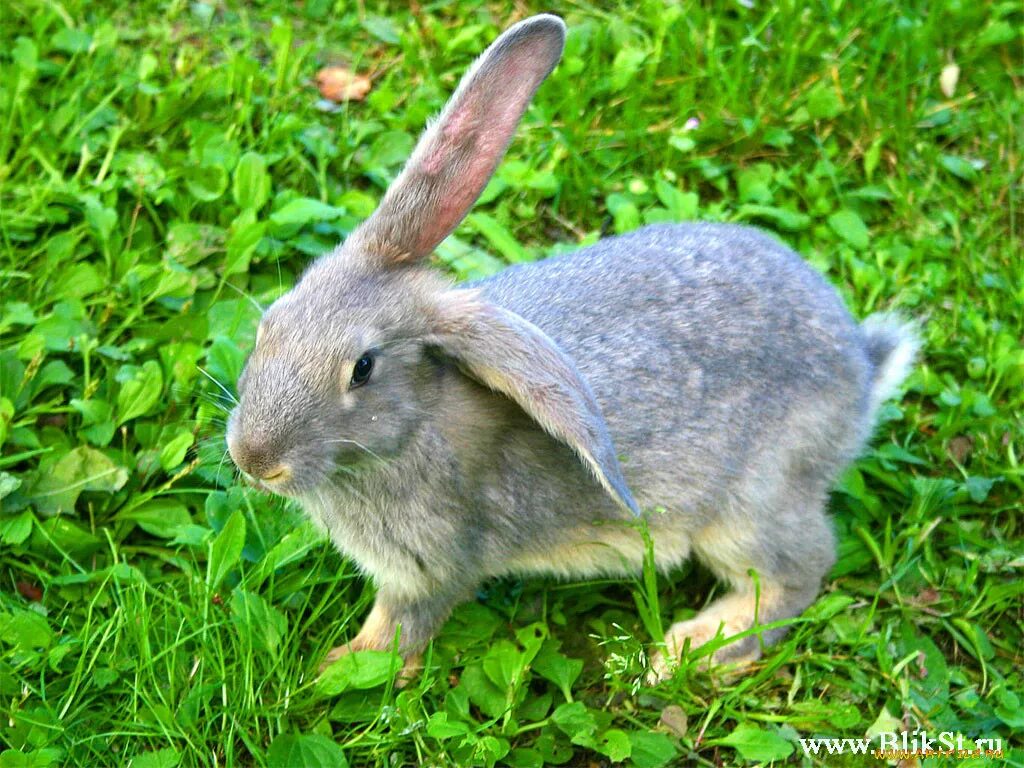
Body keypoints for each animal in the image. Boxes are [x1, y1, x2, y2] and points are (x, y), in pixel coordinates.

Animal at [224, 13, 921, 684]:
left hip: (753, 505)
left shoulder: (431, 566)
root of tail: (862, 369)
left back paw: (689, 649)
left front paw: (337, 668)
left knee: (797, 573)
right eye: (269, 322)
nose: (254, 459)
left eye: (362, 369)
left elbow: (401, 628)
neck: (418, 424)